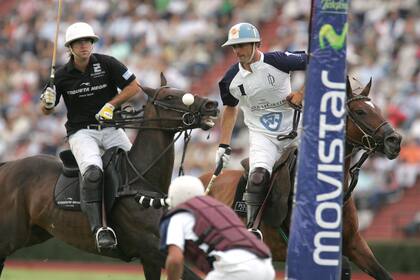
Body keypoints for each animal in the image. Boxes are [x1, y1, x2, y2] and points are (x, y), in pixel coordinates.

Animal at [0, 73, 220, 278]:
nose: (212, 104)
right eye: (170, 96)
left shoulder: (151, 258)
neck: (141, 181)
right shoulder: (150, 248)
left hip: (35, 232)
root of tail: (7, 165)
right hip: (10, 235)